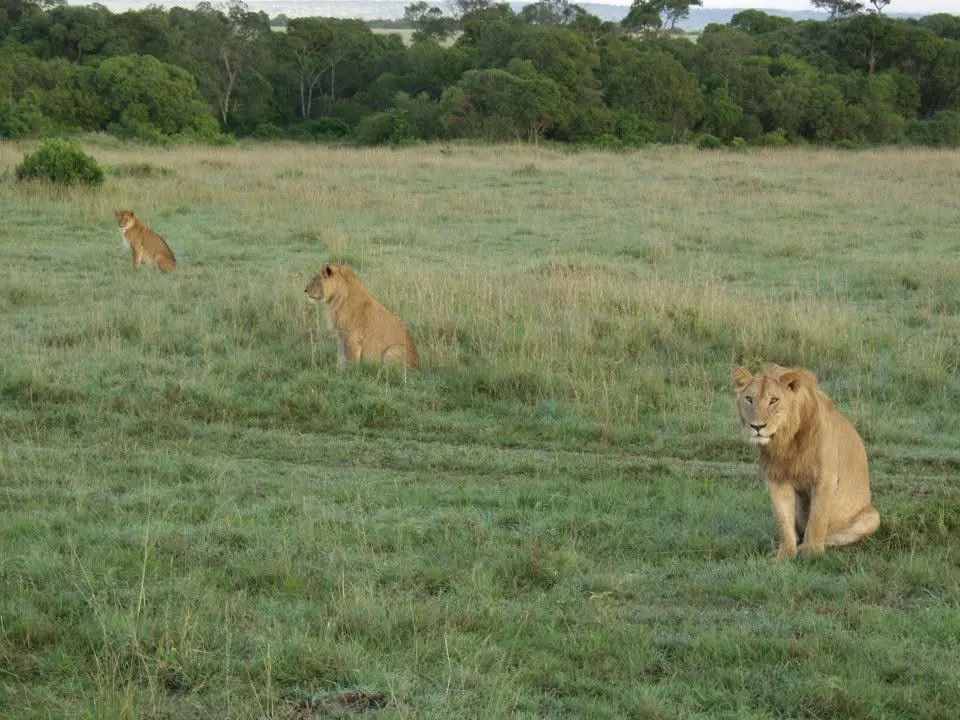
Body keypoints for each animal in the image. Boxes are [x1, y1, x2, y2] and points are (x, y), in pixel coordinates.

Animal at [732, 363, 880, 560]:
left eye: (774, 400)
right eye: (749, 399)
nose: (757, 427)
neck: (785, 441)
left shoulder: (825, 478)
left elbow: (817, 519)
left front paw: (812, 553)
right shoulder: (777, 479)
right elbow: (783, 522)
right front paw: (784, 555)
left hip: (873, 517)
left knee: (831, 537)